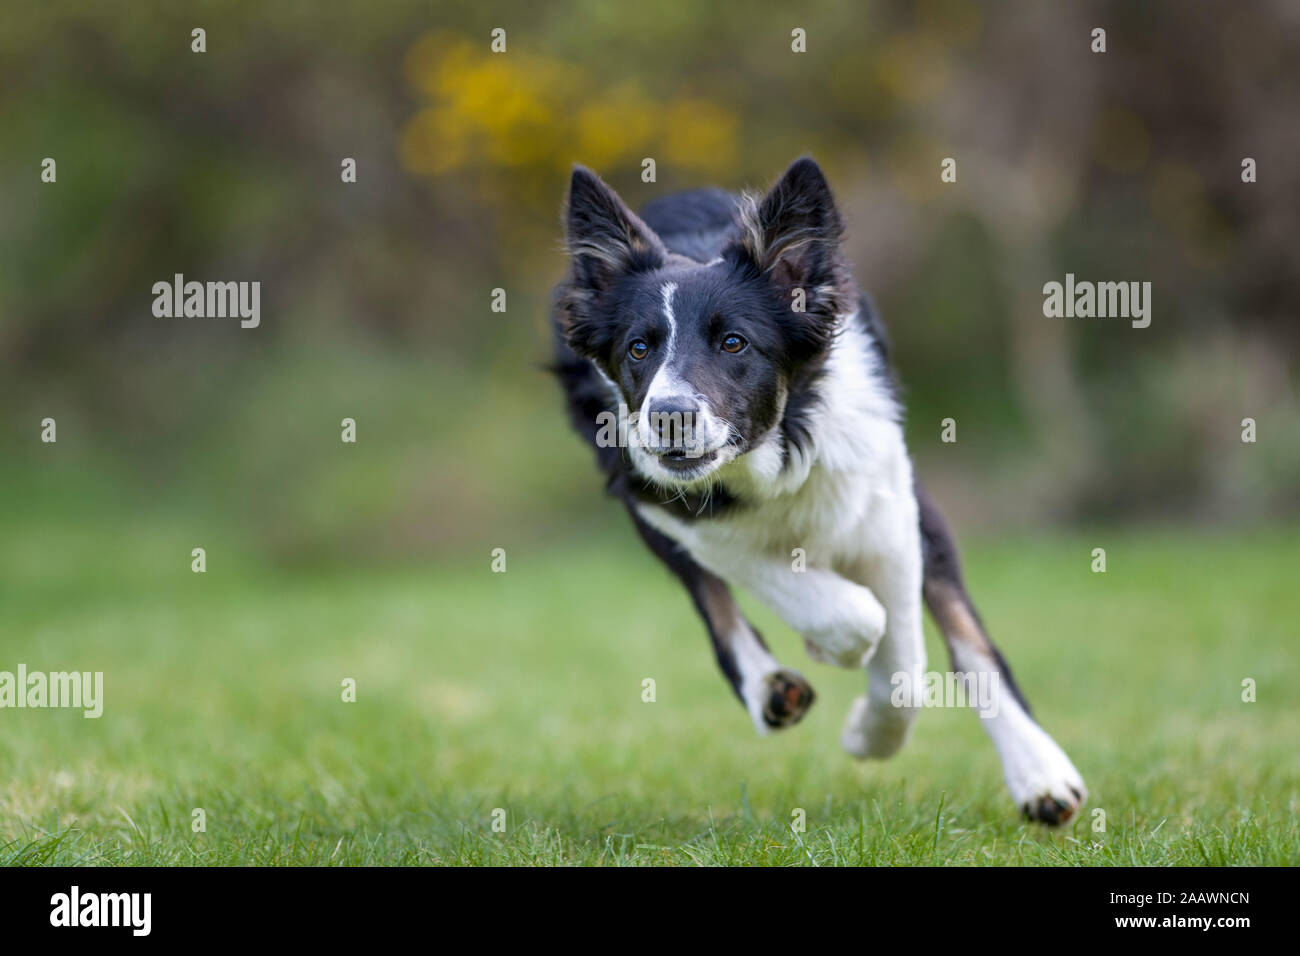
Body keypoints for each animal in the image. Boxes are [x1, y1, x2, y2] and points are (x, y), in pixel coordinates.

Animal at [548, 160, 1086, 827]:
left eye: (734, 343)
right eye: (638, 348)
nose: (669, 418)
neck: (777, 447)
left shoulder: (890, 504)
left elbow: (908, 662)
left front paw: (867, 736)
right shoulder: (653, 490)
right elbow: (840, 606)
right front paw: (832, 645)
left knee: (964, 635)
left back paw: (1040, 772)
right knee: (716, 599)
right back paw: (768, 686)